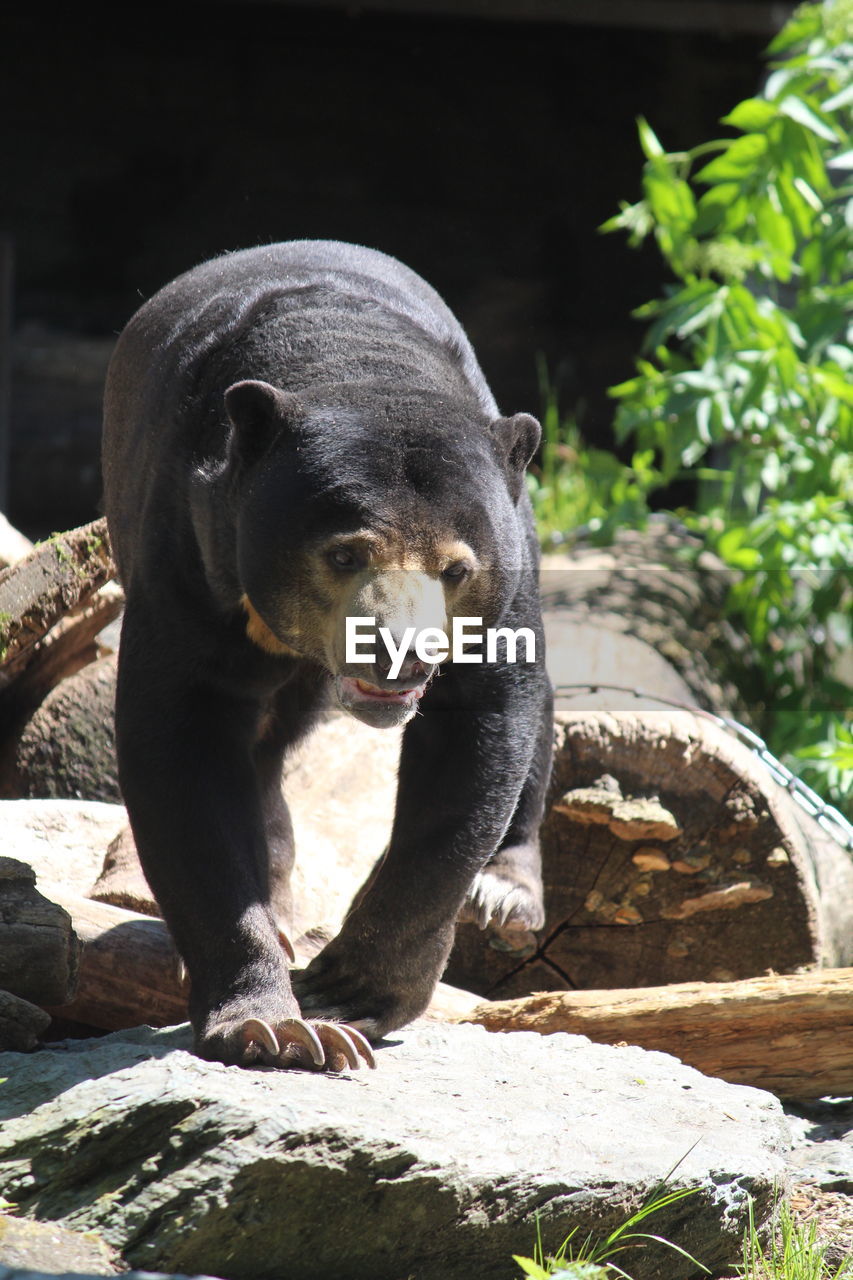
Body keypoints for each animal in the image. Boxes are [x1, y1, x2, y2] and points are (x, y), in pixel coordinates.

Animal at [101, 238, 550, 1070]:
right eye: (345, 554)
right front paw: (273, 1027)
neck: (354, 358)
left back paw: (504, 891)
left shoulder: (507, 569)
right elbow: (181, 748)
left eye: (455, 568)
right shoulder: (190, 550)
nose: (401, 653)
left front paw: (348, 992)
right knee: (258, 752)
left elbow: (478, 737)